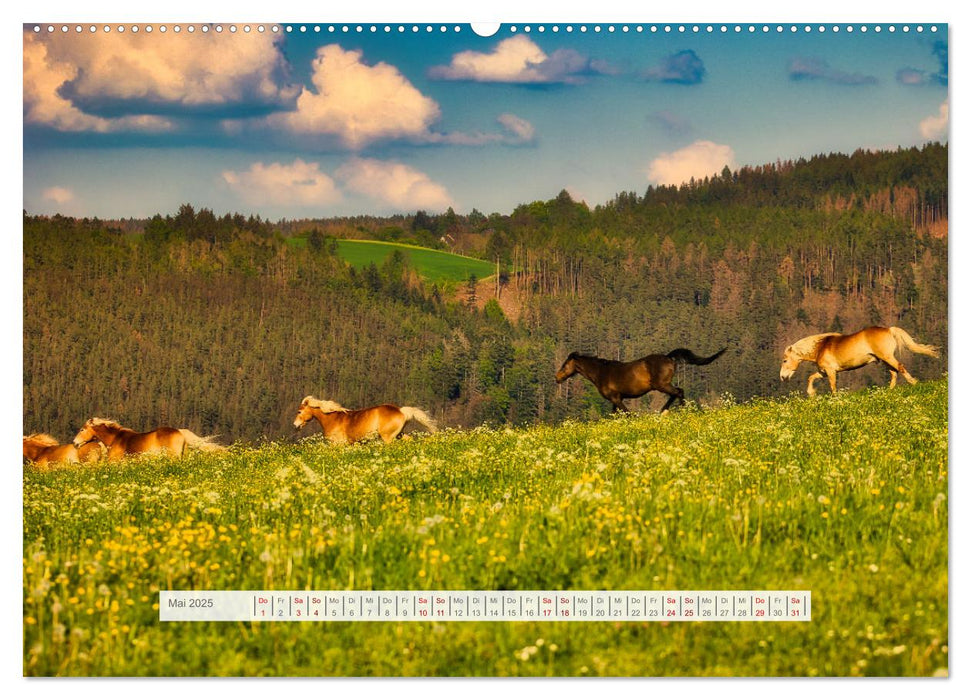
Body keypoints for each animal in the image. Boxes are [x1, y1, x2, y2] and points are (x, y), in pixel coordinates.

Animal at [292, 396, 436, 446]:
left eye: (299, 411)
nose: (295, 425)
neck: (332, 418)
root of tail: (401, 411)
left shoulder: (337, 444)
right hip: (399, 434)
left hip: (388, 437)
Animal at [560, 348, 724, 412]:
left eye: (564, 365)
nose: (557, 378)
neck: (601, 372)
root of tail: (668, 358)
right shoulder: (616, 399)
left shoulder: (615, 398)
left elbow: (628, 413)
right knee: (676, 393)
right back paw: (663, 411)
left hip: (661, 385)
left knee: (678, 392)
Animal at [780, 326, 936, 396]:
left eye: (785, 360)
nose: (782, 377)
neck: (820, 347)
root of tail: (889, 329)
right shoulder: (824, 372)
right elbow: (811, 377)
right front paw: (811, 393)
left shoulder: (831, 372)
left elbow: (833, 386)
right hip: (885, 360)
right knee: (894, 373)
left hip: (887, 357)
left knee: (900, 367)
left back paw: (913, 383)